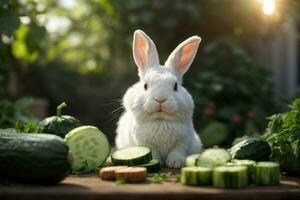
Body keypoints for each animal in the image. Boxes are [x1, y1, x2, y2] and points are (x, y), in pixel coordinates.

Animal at [116, 29, 203, 167]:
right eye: (145, 85)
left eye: (175, 86)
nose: (160, 99)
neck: (160, 120)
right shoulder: (146, 144)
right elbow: (152, 153)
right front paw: (156, 162)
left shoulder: (183, 142)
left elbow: (176, 151)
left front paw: (176, 163)